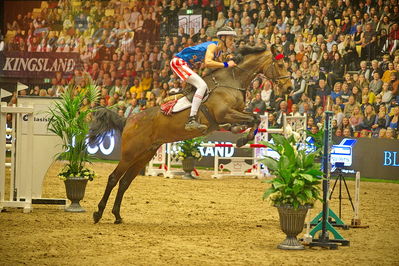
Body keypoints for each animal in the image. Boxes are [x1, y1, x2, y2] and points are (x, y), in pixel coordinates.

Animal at [90, 46, 294, 224]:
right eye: (280, 64)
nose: (289, 88)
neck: (231, 82)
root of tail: (129, 120)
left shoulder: (234, 114)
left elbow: (255, 118)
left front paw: (241, 135)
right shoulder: (225, 113)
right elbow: (254, 118)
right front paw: (243, 138)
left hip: (144, 155)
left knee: (124, 182)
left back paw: (117, 215)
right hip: (129, 154)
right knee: (114, 178)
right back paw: (98, 213)